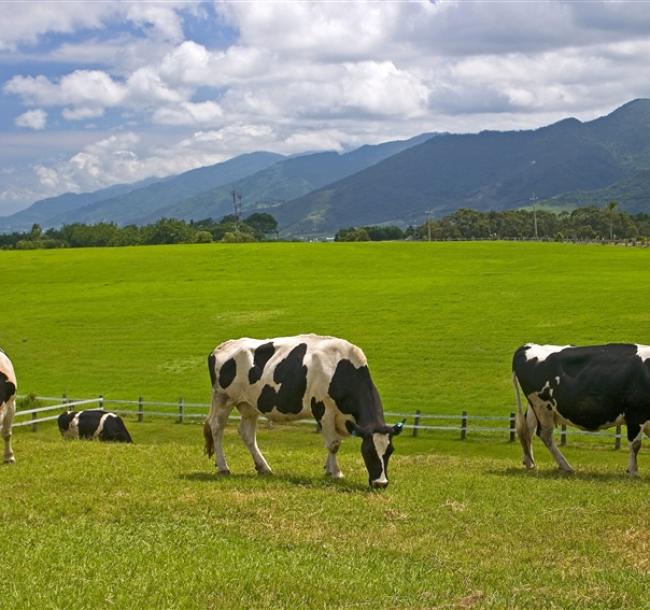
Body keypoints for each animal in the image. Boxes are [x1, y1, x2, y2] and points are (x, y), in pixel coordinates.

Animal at [205, 332, 402, 484]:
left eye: (390, 451)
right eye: (368, 451)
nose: (381, 483)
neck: (341, 367)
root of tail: (222, 346)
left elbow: (334, 443)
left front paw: (329, 469)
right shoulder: (323, 409)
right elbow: (334, 443)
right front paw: (336, 473)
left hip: (248, 405)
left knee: (247, 433)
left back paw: (264, 467)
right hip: (223, 397)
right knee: (217, 427)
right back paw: (223, 467)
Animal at [512, 342, 648, 476]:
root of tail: (528, 346)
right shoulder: (636, 414)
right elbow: (635, 444)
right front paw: (633, 472)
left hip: (535, 407)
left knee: (528, 431)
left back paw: (530, 463)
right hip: (543, 407)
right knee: (544, 434)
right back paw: (566, 467)